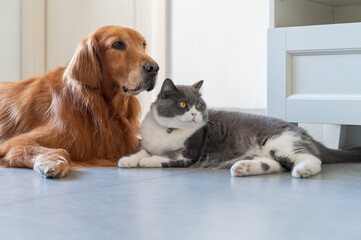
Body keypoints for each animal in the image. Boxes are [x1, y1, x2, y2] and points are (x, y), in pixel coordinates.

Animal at [0, 25, 159, 177]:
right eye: (118, 44)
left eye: (143, 45)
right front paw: (54, 162)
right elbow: (59, 151)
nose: (154, 68)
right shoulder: (17, 141)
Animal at [118, 79, 360, 178]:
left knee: (311, 158)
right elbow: (143, 149)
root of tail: (304, 133)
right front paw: (128, 160)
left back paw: (303, 170)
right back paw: (244, 168)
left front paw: (146, 161)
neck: (168, 131)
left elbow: (166, 156)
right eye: (183, 104)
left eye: (199, 105)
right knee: (275, 165)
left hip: (281, 142)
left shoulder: (188, 153)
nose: (195, 114)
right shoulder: (149, 141)